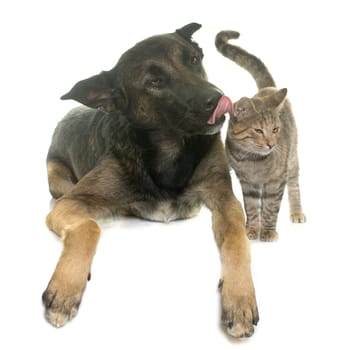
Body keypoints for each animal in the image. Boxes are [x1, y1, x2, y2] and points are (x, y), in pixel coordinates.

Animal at [42, 23, 258, 338]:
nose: (218, 99)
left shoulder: (225, 200)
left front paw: (240, 299)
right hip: (57, 177)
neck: (170, 148)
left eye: (194, 59)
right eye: (154, 82)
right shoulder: (73, 201)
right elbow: (90, 227)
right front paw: (65, 288)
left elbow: (236, 239)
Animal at [215, 30, 304, 241]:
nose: (271, 144)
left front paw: (268, 231)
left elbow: (271, 207)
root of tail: (268, 89)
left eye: (275, 130)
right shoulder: (247, 183)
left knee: (294, 184)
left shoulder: (276, 181)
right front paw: (252, 229)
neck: (252, 160)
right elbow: (252, 207)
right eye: (258, 131)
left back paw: (297, 212)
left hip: (292, 158)